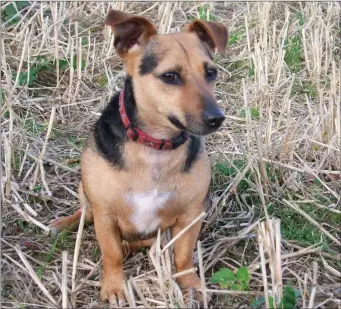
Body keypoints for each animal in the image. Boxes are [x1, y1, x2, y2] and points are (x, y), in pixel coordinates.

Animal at [49, 8, 226, 304]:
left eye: (211, 73)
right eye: (170, 76)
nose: (217, 118)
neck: (156, 145)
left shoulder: (191, 215)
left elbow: (183, 257)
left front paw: (190, 284)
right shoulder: (106, 214)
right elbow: (111, 254)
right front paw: (114, 287)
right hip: (85, 191)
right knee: (86, 212)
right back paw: (64, 223)